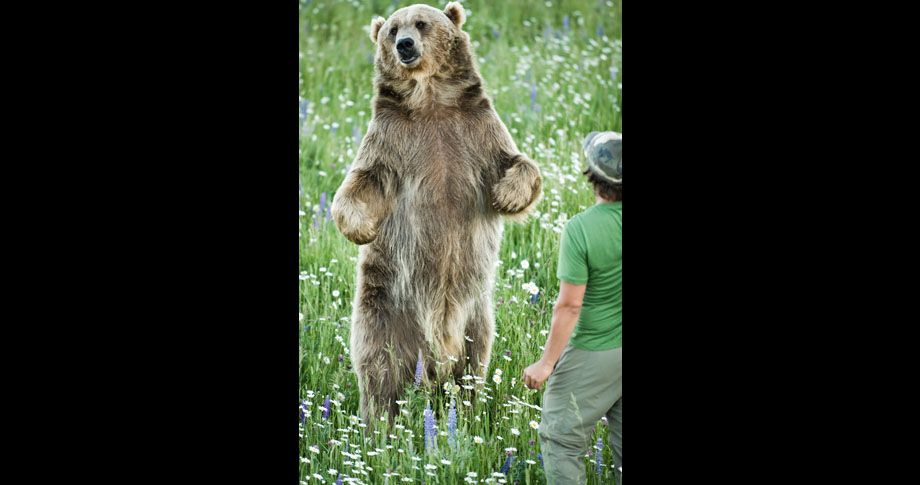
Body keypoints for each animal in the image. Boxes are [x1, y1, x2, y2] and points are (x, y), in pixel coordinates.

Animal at [332, 1, 544, 422]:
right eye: (392, 29)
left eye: (421, 23)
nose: (405, 45)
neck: (429, 99)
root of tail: (436, 360)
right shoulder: (392, 142)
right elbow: (362, 181)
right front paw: (361, 228)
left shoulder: (475, 131)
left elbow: (516, 163)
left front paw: (507, 196)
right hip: (384, 308)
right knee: (379, 368)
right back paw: (380, 423)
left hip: (476, 316)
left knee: (474, 363)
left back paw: (467, 411)